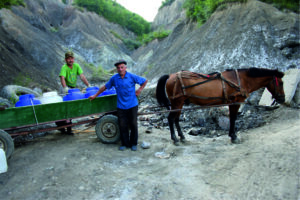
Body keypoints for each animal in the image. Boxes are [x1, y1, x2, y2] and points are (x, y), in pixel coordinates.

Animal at [156, 68, 284, 145]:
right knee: (170, 118)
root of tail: (170, 76)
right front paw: (233, 136)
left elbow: (232, 118)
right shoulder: (236, 101)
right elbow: (233, 118)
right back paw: (175, 139)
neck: (241, 79)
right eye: (281, 83)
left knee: (176, 119)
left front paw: (232, 135)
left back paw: (182, 137)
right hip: (177, 102)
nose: (282, 99)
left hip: (179, 103)